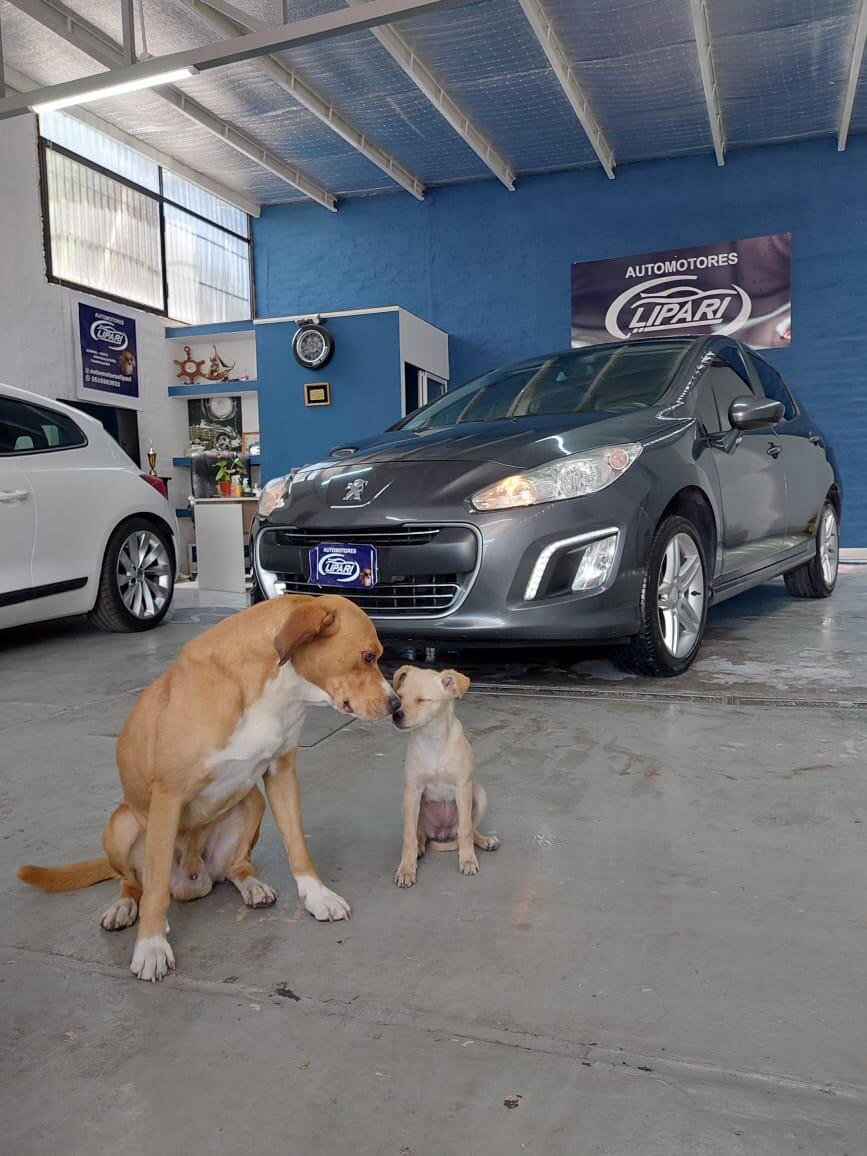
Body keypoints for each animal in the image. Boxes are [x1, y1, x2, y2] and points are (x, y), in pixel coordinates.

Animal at [16, 596, 399, 984]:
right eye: (369, 656)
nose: (395, 703)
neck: (268, 688)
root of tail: (192, 881)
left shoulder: (281, 773)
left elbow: (298, 847)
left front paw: (318, 896)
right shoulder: (168, 796)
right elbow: (155, 890)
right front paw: (151, 946)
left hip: (252, 802)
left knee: (236, 866)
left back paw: (251, 885)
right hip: (120, 825)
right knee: (133, 883)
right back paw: (123, 905)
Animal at [390, 665, 499, 887]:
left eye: (422, 700)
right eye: (400, 697)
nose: (396, 715)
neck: (432, 739)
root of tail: (441, 833)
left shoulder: (462, 787)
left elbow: (465, 830)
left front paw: (467, 860)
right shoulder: (412, 790)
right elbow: (408, 836)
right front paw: (406, 869)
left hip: (479, 794)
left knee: (468, 829)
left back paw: (484, 841)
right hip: (406, 804)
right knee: (419, 833)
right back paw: (420, 847)